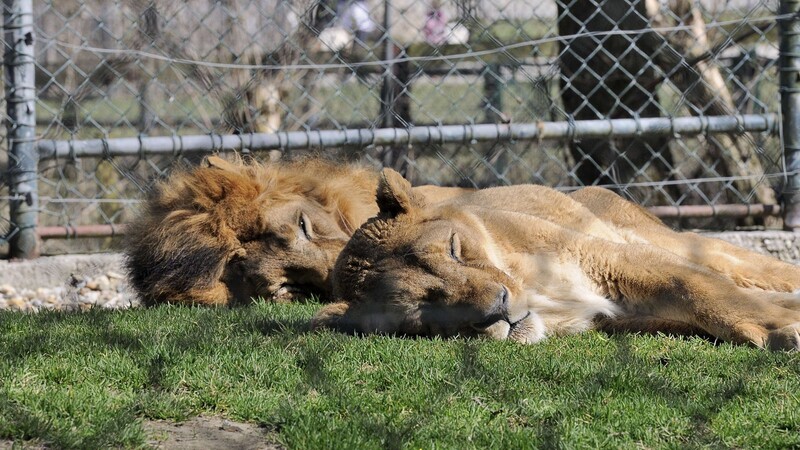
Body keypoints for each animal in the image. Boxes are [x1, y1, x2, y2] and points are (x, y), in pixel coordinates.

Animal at [314, 169, 800, 352]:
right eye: (424, 312)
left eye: (453, 248)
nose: (499, 311)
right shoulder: (618, 316)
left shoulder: (613, 258)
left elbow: (705, 292)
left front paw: (780, 329)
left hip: (672, 241)